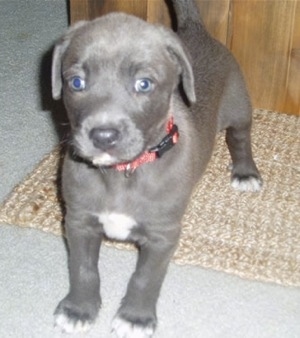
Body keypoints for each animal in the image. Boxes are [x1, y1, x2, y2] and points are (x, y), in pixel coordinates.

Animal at [51, 0, 262, 336]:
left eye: (144, 84)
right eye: (76, 82)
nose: (103, 136)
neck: (123, 174)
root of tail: (196, 31)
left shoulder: (163, 235)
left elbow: (145, 278)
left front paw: (135, 318)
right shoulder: (79, 221)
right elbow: (82, 269)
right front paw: (79, 309)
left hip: (240, 107)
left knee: (240, 138)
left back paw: (245, 173)